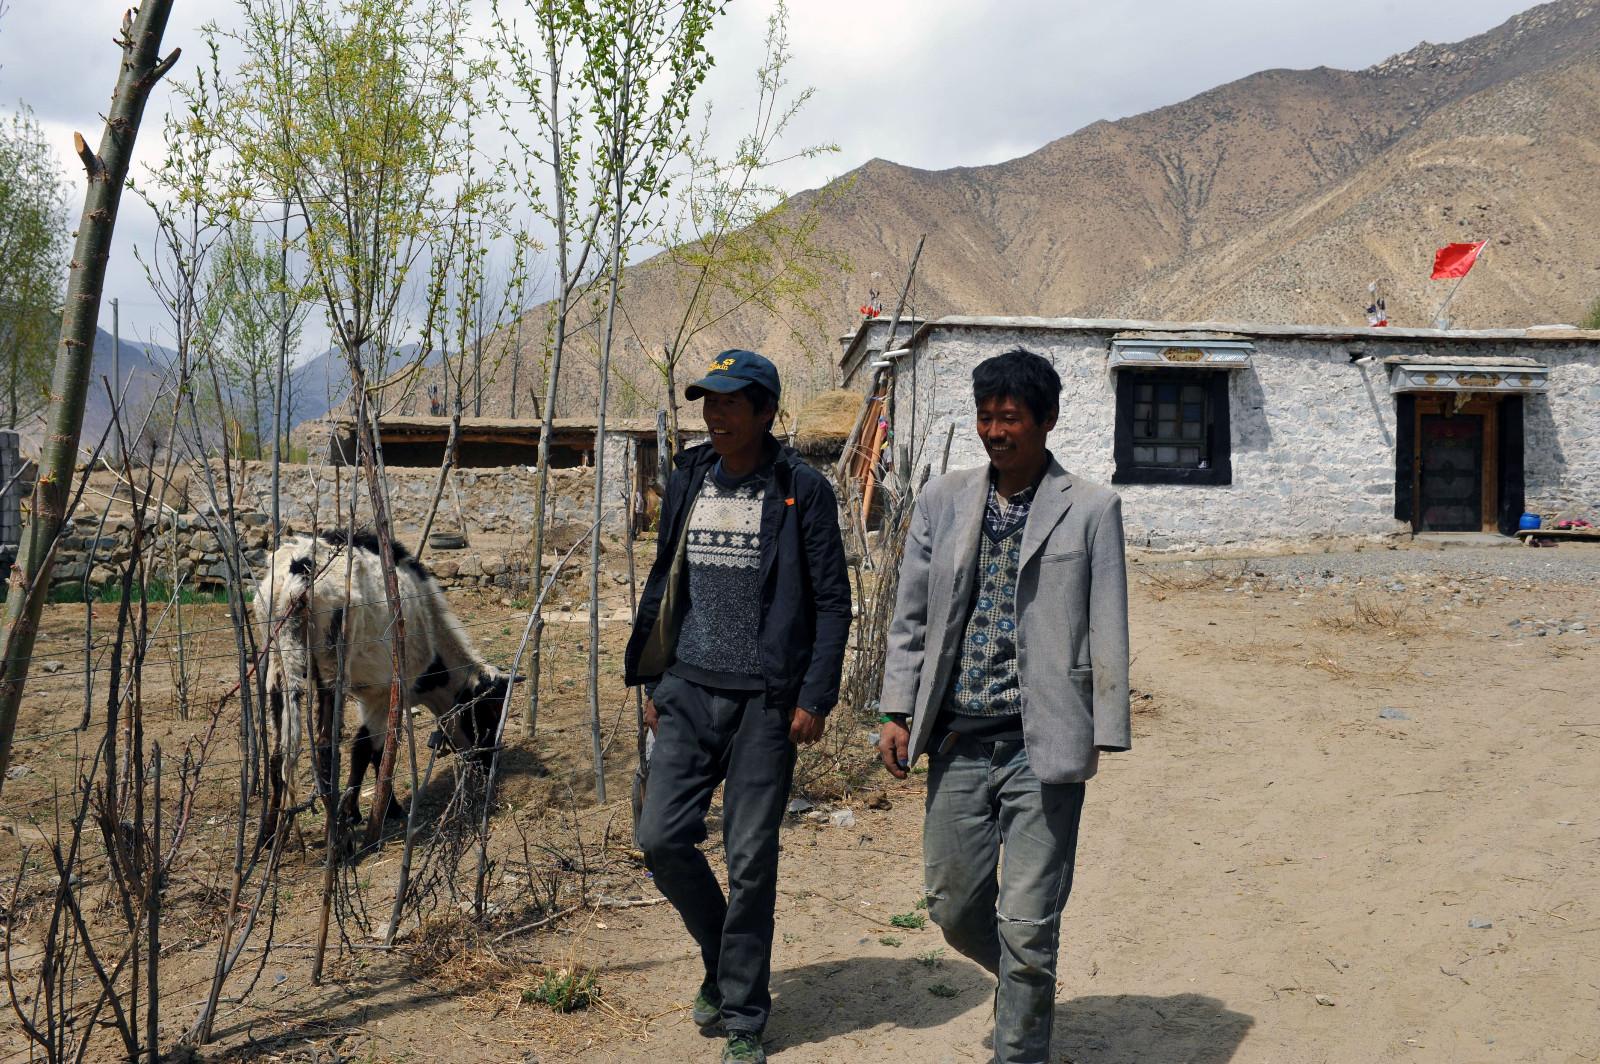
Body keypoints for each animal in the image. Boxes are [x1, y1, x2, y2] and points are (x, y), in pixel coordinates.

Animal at [255, 529, 515, 842]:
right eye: (486, 714)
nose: (488, 766)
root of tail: (298, 567)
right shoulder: (383, 694)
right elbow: (374, 749)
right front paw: (386, 808)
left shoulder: (373, 695)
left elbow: (363, 749)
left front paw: (354, 811)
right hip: (331, 668)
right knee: (326, 748)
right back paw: (336, 838)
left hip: (276, 662)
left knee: (277, 752)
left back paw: (268, 834)